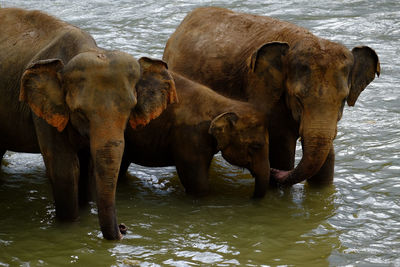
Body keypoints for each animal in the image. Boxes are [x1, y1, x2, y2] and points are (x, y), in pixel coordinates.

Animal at [0, 7, 177, 241]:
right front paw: (69, 227)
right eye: (80, 112)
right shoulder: (42, 112)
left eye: (130, 109)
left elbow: (88, 168)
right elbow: (65, 169)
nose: (123, 228)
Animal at [163, 7, 382, 189]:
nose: (274, 173)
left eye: (343, 100)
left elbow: (326, 160)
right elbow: (282, 150)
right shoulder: (262, 90)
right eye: (298, 98)